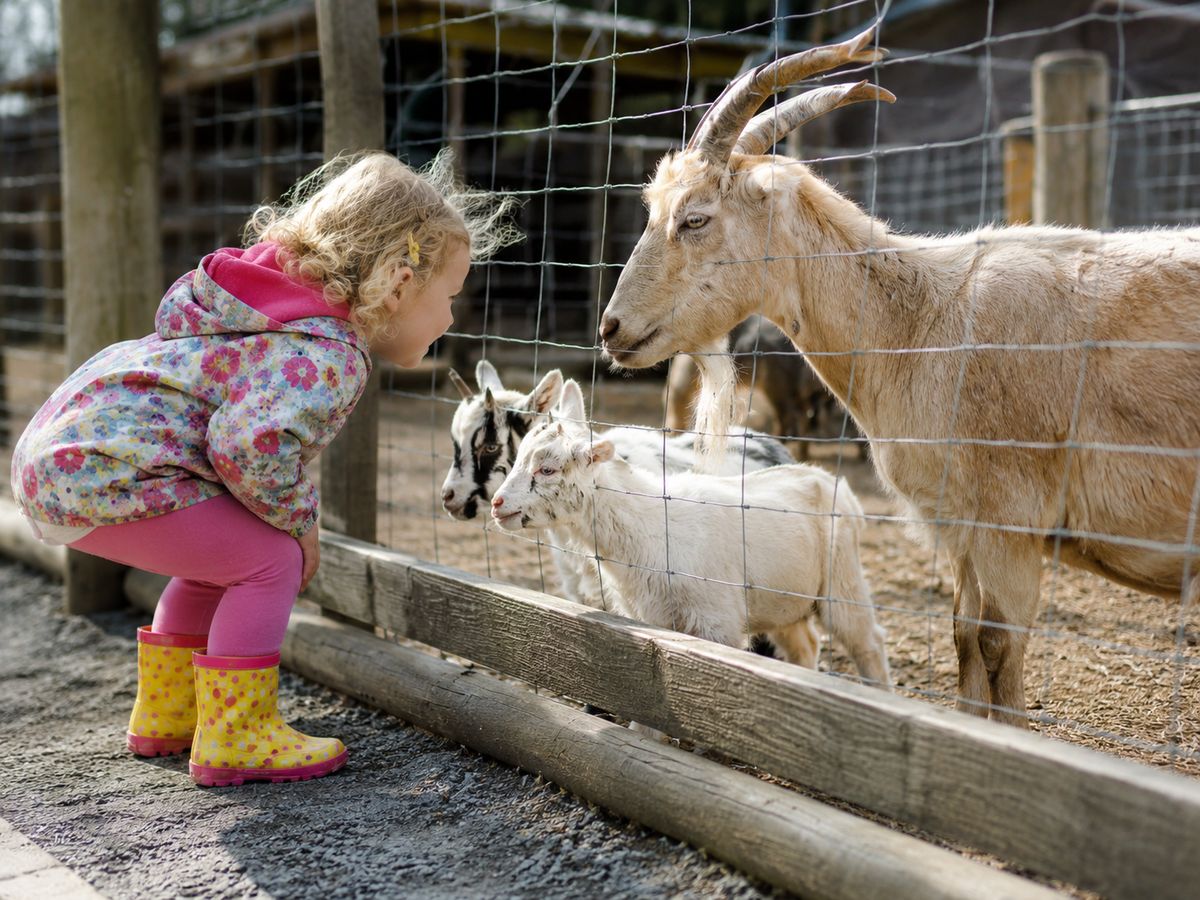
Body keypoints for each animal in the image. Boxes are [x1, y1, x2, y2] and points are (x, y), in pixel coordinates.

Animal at [490, 385, 891, 690]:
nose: (497, 503)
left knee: (867, 642)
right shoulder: (651, 620)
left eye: (547, 469)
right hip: (783, 596)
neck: (649, 524)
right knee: (804, 646)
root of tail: (828, 479)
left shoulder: (717, 623)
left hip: (842, 578)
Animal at [597, 24, 1200, 727]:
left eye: (695, 218)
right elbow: (966, 641)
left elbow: (999, 646)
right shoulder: (962, 526)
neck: (922, 323)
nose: (611, 329)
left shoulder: (1009, 519)